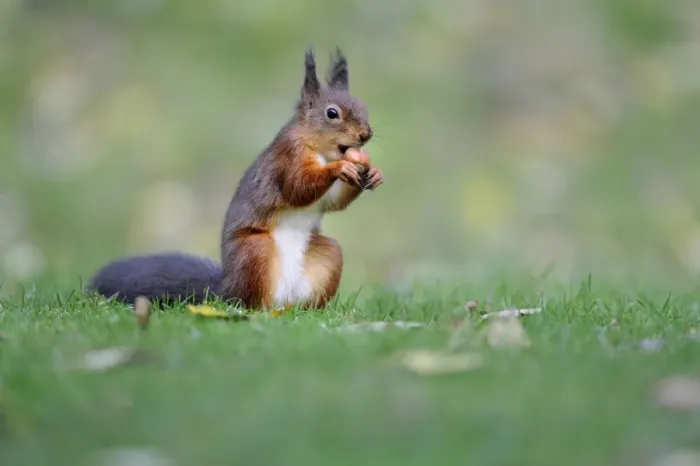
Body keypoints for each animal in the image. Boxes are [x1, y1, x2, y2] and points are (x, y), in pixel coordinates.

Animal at [86, 47, 383, 310]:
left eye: (364, 107)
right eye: (332, 113)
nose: (366, 134)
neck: (320, 150)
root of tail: (224, 291)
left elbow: (332, 202)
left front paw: (373, 173)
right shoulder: (287, 157)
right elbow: (297, 187)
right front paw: (340, 168)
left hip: (328, 255)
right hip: (254, 251)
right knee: (250, 302)